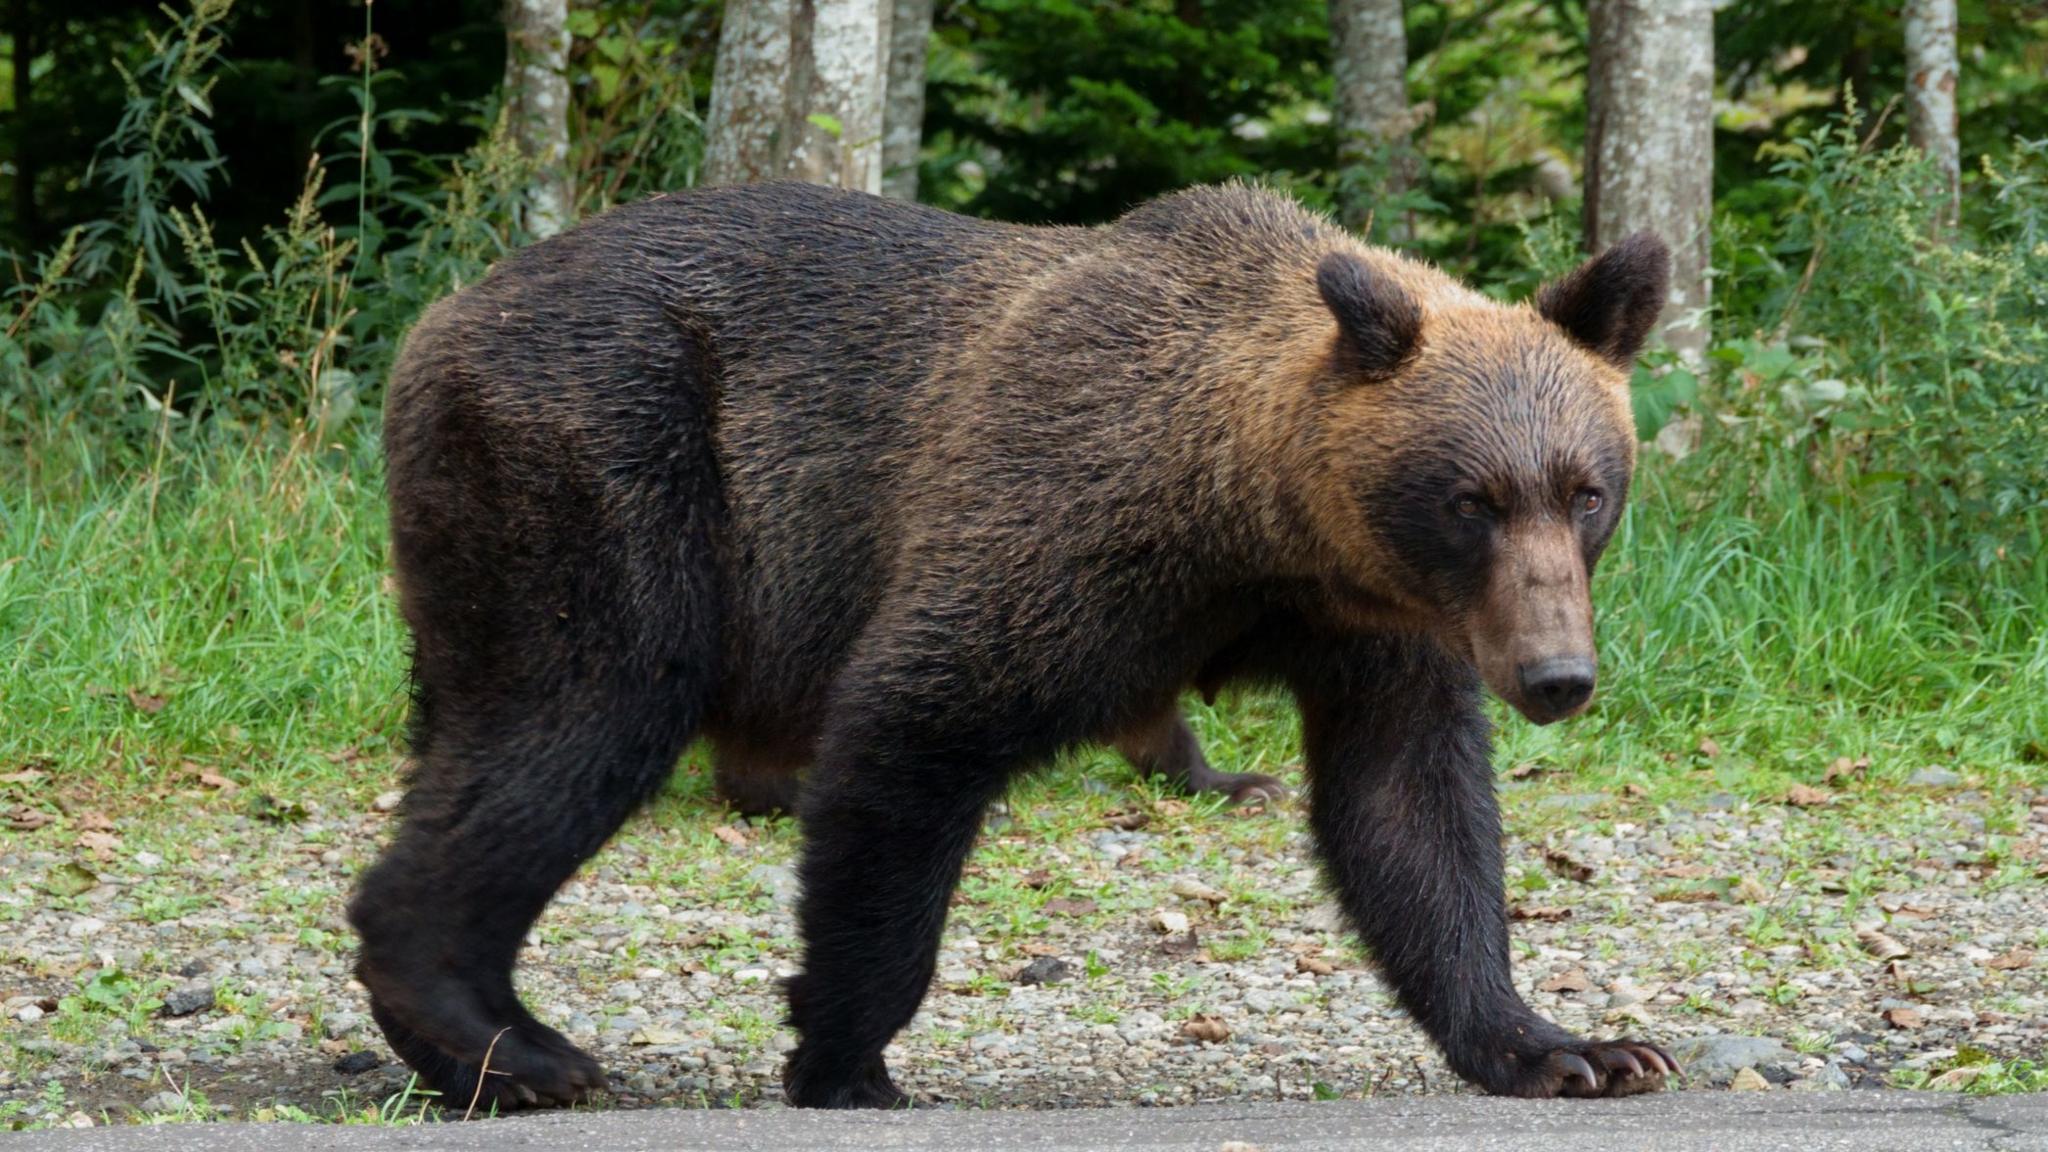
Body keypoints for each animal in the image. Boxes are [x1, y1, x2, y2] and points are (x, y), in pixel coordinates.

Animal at [348, 180, 1677, 1112]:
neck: (1252, 516)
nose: (1555, 676)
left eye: (1585, 490)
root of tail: (441, 317)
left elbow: (1408, 814)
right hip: (610, 464)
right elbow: (916, 720)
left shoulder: (1369, 625)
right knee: (580, 711)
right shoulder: (1064, 515)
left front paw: (1572, 1046)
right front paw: (843, 1052)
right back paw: (509, 1045)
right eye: (1470, 498)